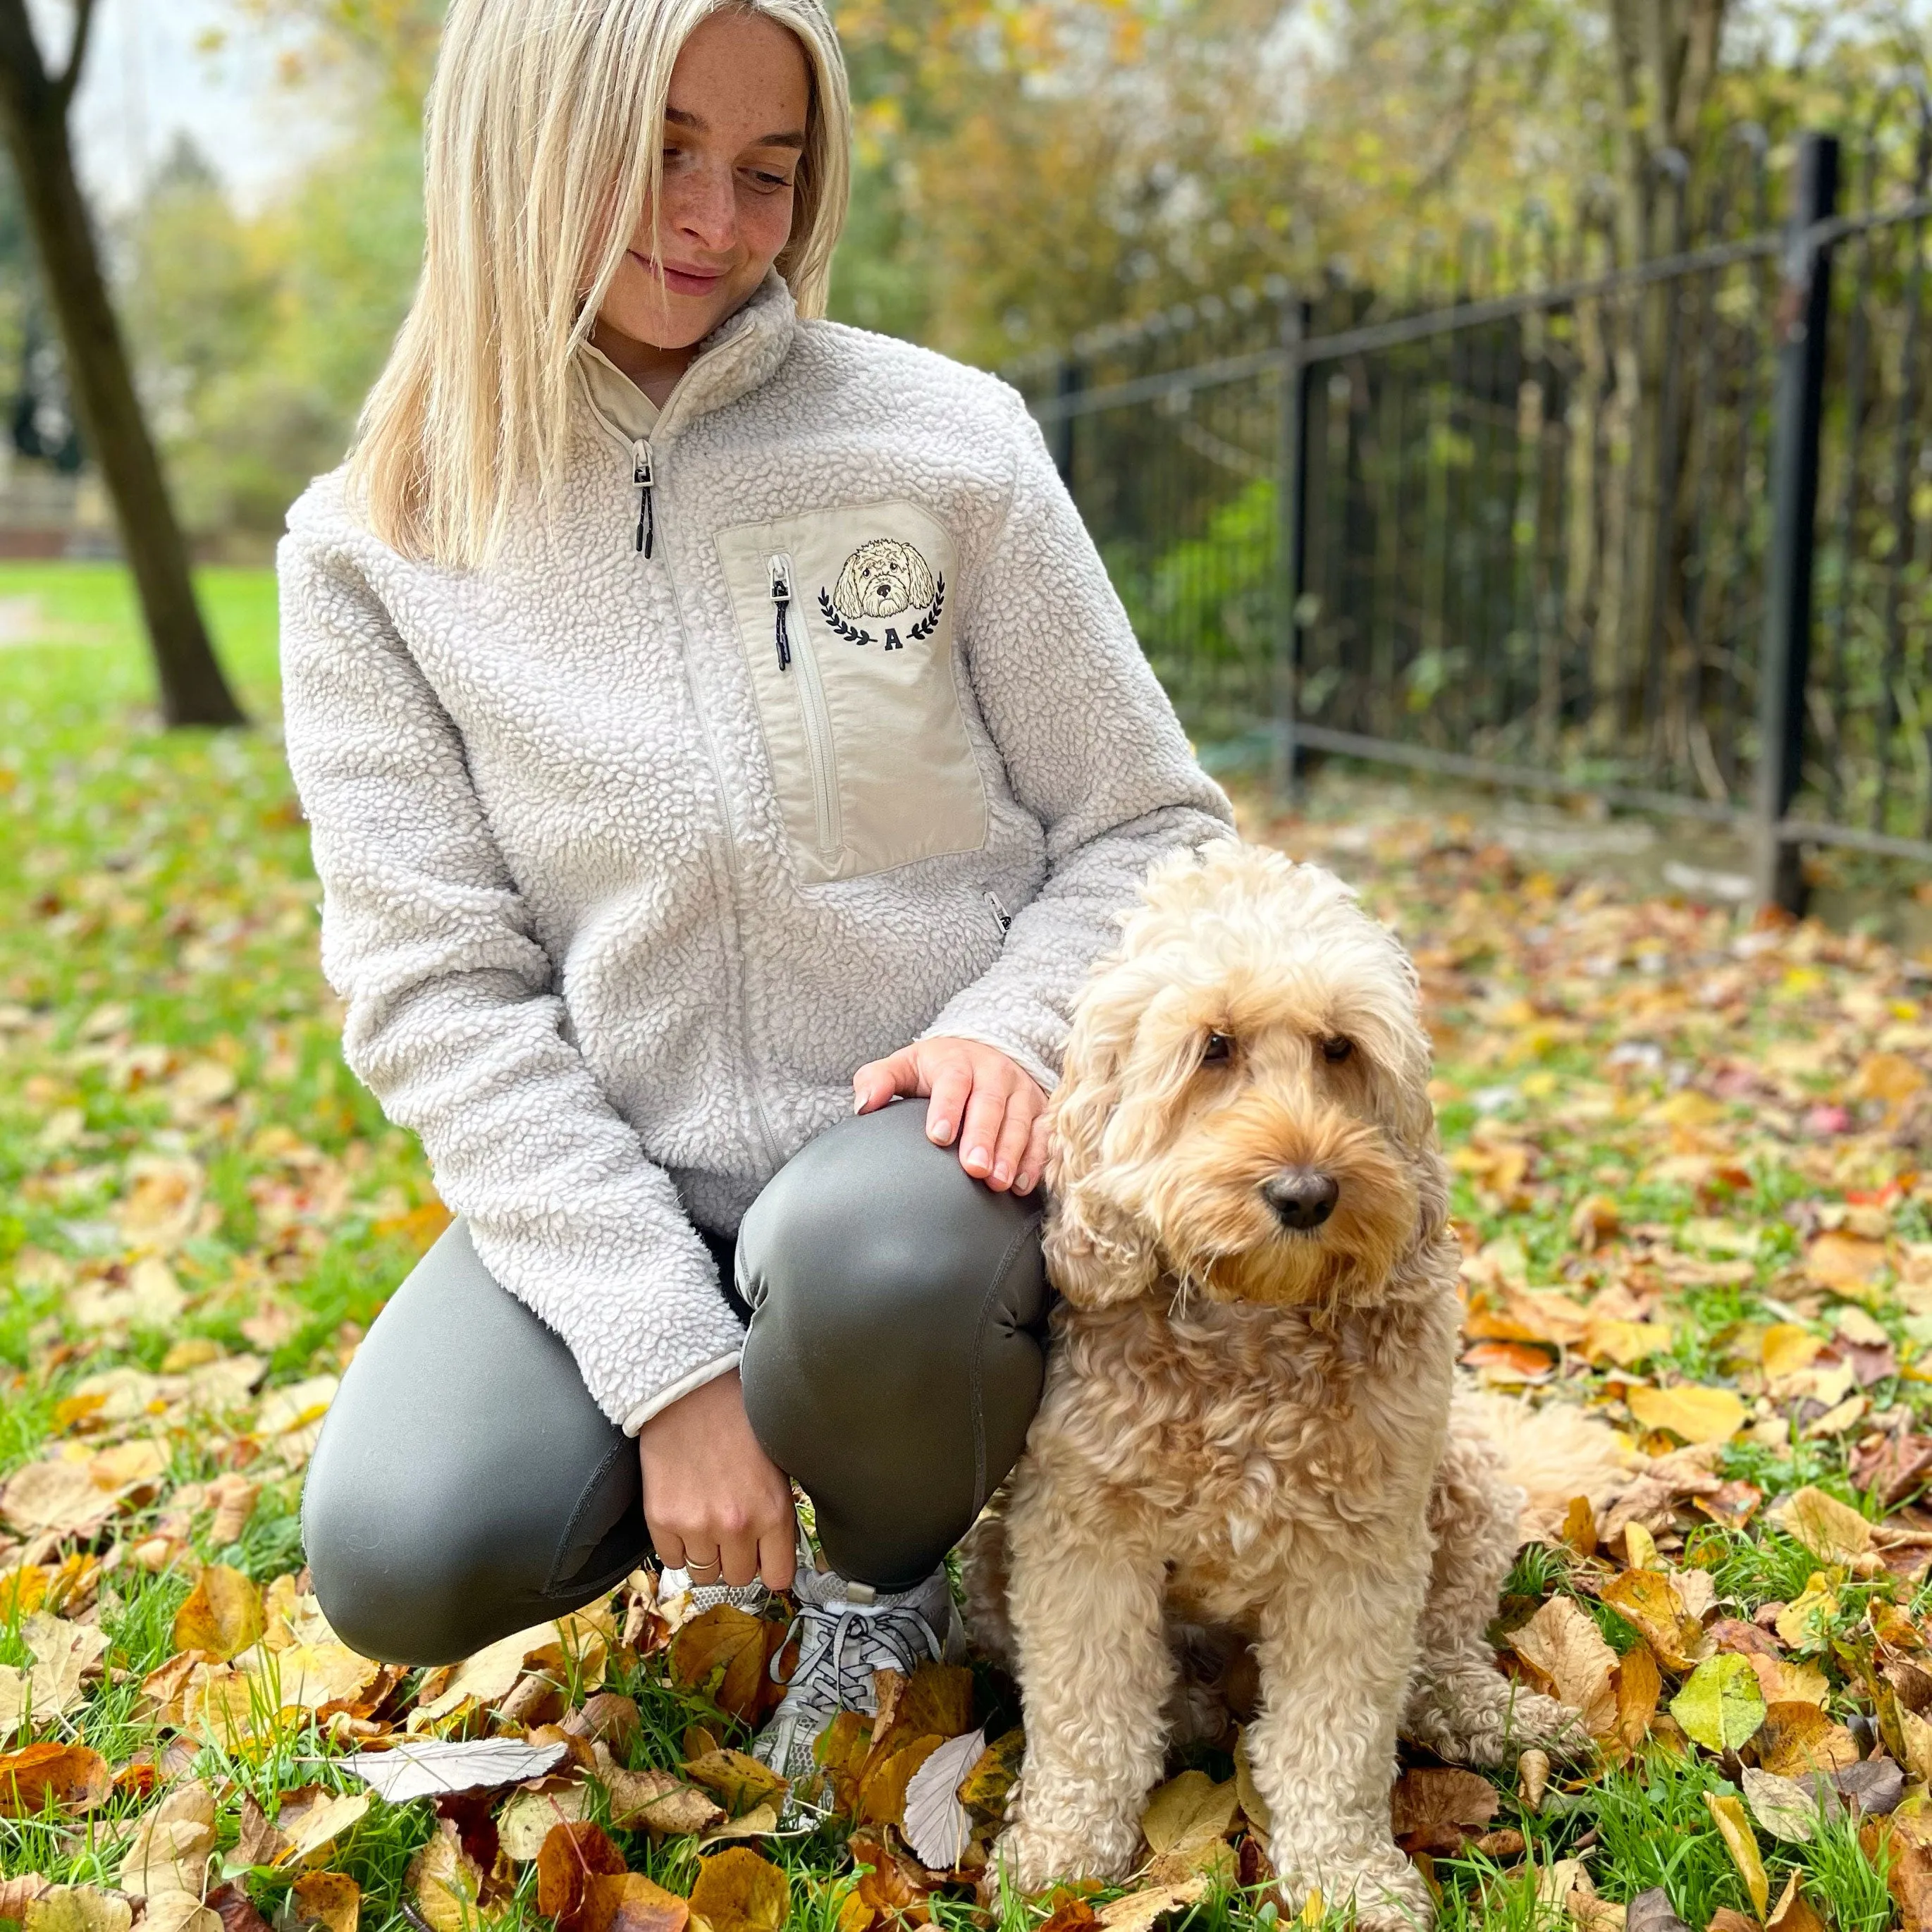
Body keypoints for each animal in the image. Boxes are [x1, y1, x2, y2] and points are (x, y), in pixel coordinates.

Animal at [966, 846, 1584, 1932]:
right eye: (1213, 1048)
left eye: (1340, 1048)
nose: (1305, 1192)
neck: (1247, 1336)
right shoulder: (1083, 1537)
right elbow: (1089, 1716)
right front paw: (1060, 1855)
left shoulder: (1359, 1558)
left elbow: (1335, 1736)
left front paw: (1348, 1877)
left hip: (1461, 1485)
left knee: (1438, 1652)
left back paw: (1491, 1714)